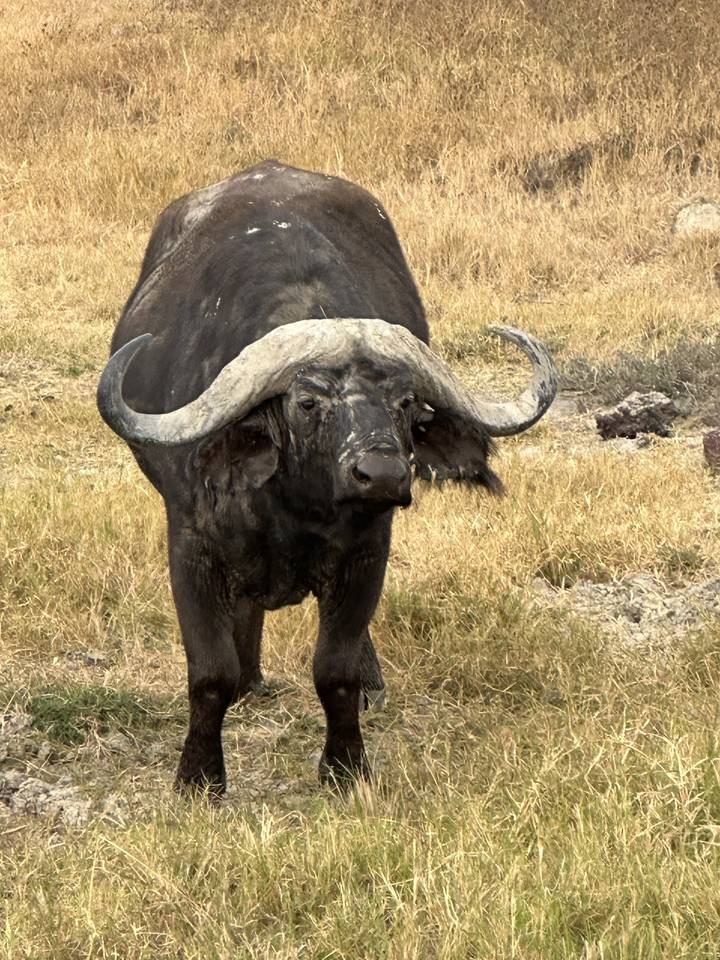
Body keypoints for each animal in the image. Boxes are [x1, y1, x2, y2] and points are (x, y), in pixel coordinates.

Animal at [97, 159, 557, 795]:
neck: (292, 509)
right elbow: (210, 674)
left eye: (407, 404)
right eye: (309, 402)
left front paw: (345, 766)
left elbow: (334, 669)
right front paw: (200, 777)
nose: (382, 474)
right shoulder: (190, 548)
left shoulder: (367, 552)